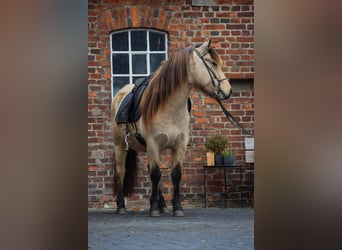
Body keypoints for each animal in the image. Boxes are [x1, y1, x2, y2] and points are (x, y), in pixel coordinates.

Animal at [111, 39, 231, 217]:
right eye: (213, 63)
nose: (229, 90)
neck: (168, 107)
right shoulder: (153, 144)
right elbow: (155, 174)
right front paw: (154, 208)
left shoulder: (179, 145)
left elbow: (174, 175)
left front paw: (176, 207)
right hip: (120, 146)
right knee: (121, 172)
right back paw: (121, 206)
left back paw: (162, 205)